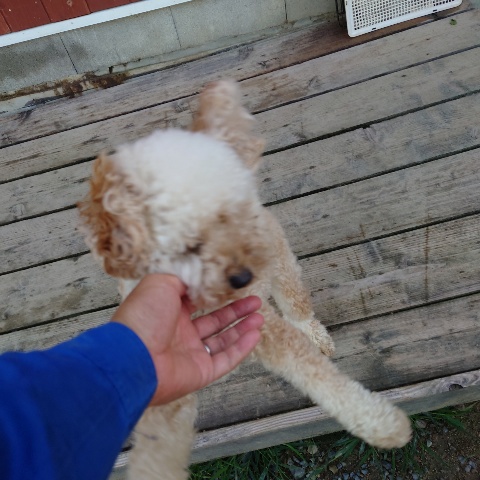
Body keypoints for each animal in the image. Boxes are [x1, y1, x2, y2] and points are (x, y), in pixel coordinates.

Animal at [78, 80, 411, 479]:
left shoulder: (262, 321)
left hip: (281, 260)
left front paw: (382, 424)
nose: (244, 275)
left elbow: (315, 373)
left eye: (232, 215)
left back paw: (313, 331)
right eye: (190, 244)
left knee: (297, 304)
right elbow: (159, 440)